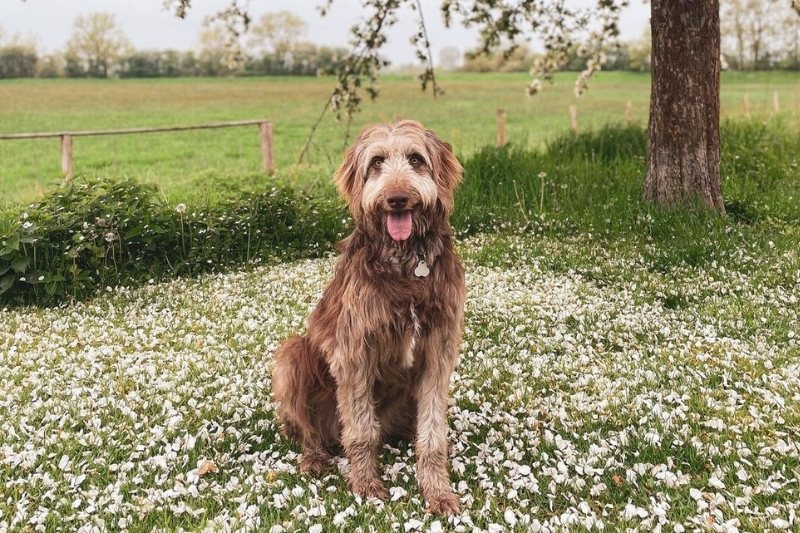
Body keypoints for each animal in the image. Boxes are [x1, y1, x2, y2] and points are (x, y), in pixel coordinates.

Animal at [274, 121, 466, 516]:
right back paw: (314, 457)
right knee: (309, 431)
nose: (397, 198)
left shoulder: (438, 350)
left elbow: (432, 431)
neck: (407, 264)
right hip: (292, 357)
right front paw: (365, 484)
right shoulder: (353, 351)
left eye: (415, 159)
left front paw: (437, 489)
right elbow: (362, 430)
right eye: (377, 162)